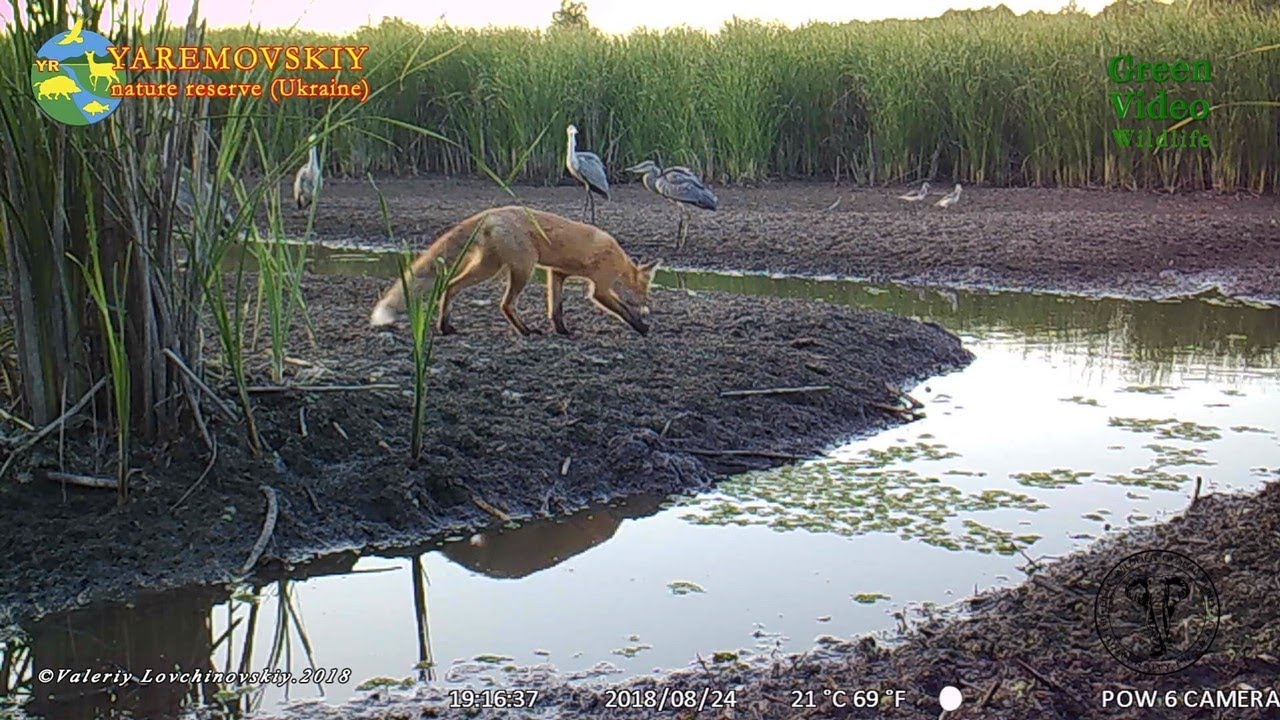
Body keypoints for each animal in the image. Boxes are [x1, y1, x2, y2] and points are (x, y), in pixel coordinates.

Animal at [369, 205, 661, 337]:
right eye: (644, 293)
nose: (648, 306)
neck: (618, 261)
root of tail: (490, 213)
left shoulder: (557, 273)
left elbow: (556, 308)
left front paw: (562, 330)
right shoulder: (599, 289)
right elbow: (620, 309)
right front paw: (640, 325)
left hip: (488, 266)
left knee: (450, 287)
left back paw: (446, 326)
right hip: (522, 269)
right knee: (505, 304)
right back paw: (525, 330)